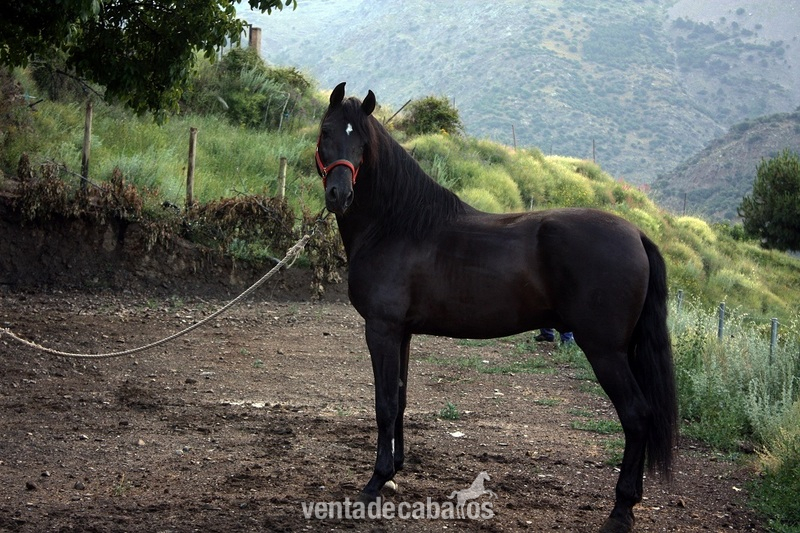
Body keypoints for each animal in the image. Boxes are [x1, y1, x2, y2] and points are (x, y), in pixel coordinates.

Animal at [315, 82, 677, 533]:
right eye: (327, 131)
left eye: (362, 143)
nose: (339, 195)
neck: (395, 225)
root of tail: (637, 234)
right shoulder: (401, 333)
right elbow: (399, 399)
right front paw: (394, 470)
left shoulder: (381, 329)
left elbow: (384, 405)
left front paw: (374, 483)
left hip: (605, 351)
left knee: (636, 415)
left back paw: (621, 510)